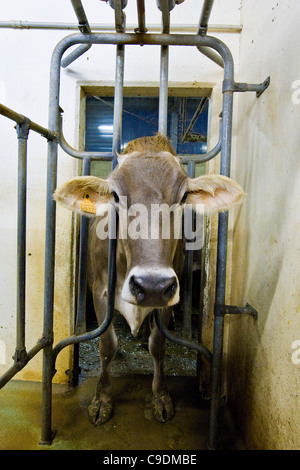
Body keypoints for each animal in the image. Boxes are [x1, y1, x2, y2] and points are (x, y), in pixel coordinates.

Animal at [54, 133, 244, 426]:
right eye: (116, 195)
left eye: (183, 196)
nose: (151, 284)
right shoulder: (100, 291)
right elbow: (107, 345)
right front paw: (101, 400)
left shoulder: (168, 293)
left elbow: (159, 346)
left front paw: (161, 398)